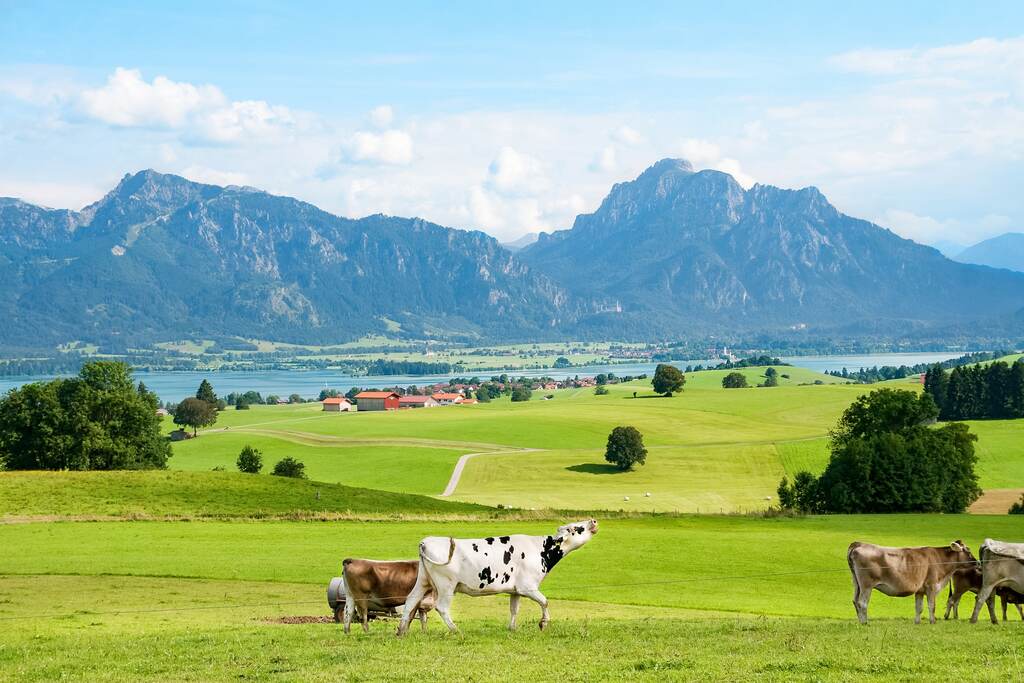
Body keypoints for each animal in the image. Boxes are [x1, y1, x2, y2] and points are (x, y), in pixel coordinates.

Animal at [395, 519, 598, 636]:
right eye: (577, 527)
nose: (594, 520)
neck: (541, 549)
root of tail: (426, 541)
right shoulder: (528, 587)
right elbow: (545, 601)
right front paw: (543, 623)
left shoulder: (516, 590)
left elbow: (514, 609)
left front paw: (512, 628)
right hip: (446, 585)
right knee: (442, 607)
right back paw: (456, 630)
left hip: (423, 581)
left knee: (411, 600)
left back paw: (402, 630)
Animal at [847, 540, 977, 624]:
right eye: (968, 551)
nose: (978, 562)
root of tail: (859, 544)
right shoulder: (931, 586)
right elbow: (932, 606)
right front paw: (933, 621)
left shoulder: (920, 590)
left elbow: (919, 607)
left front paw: (917, 622)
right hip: (866, 585)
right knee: (862, 602)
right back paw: (865, 622)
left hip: (856, 584)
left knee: (855, 601)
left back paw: (860, 621)